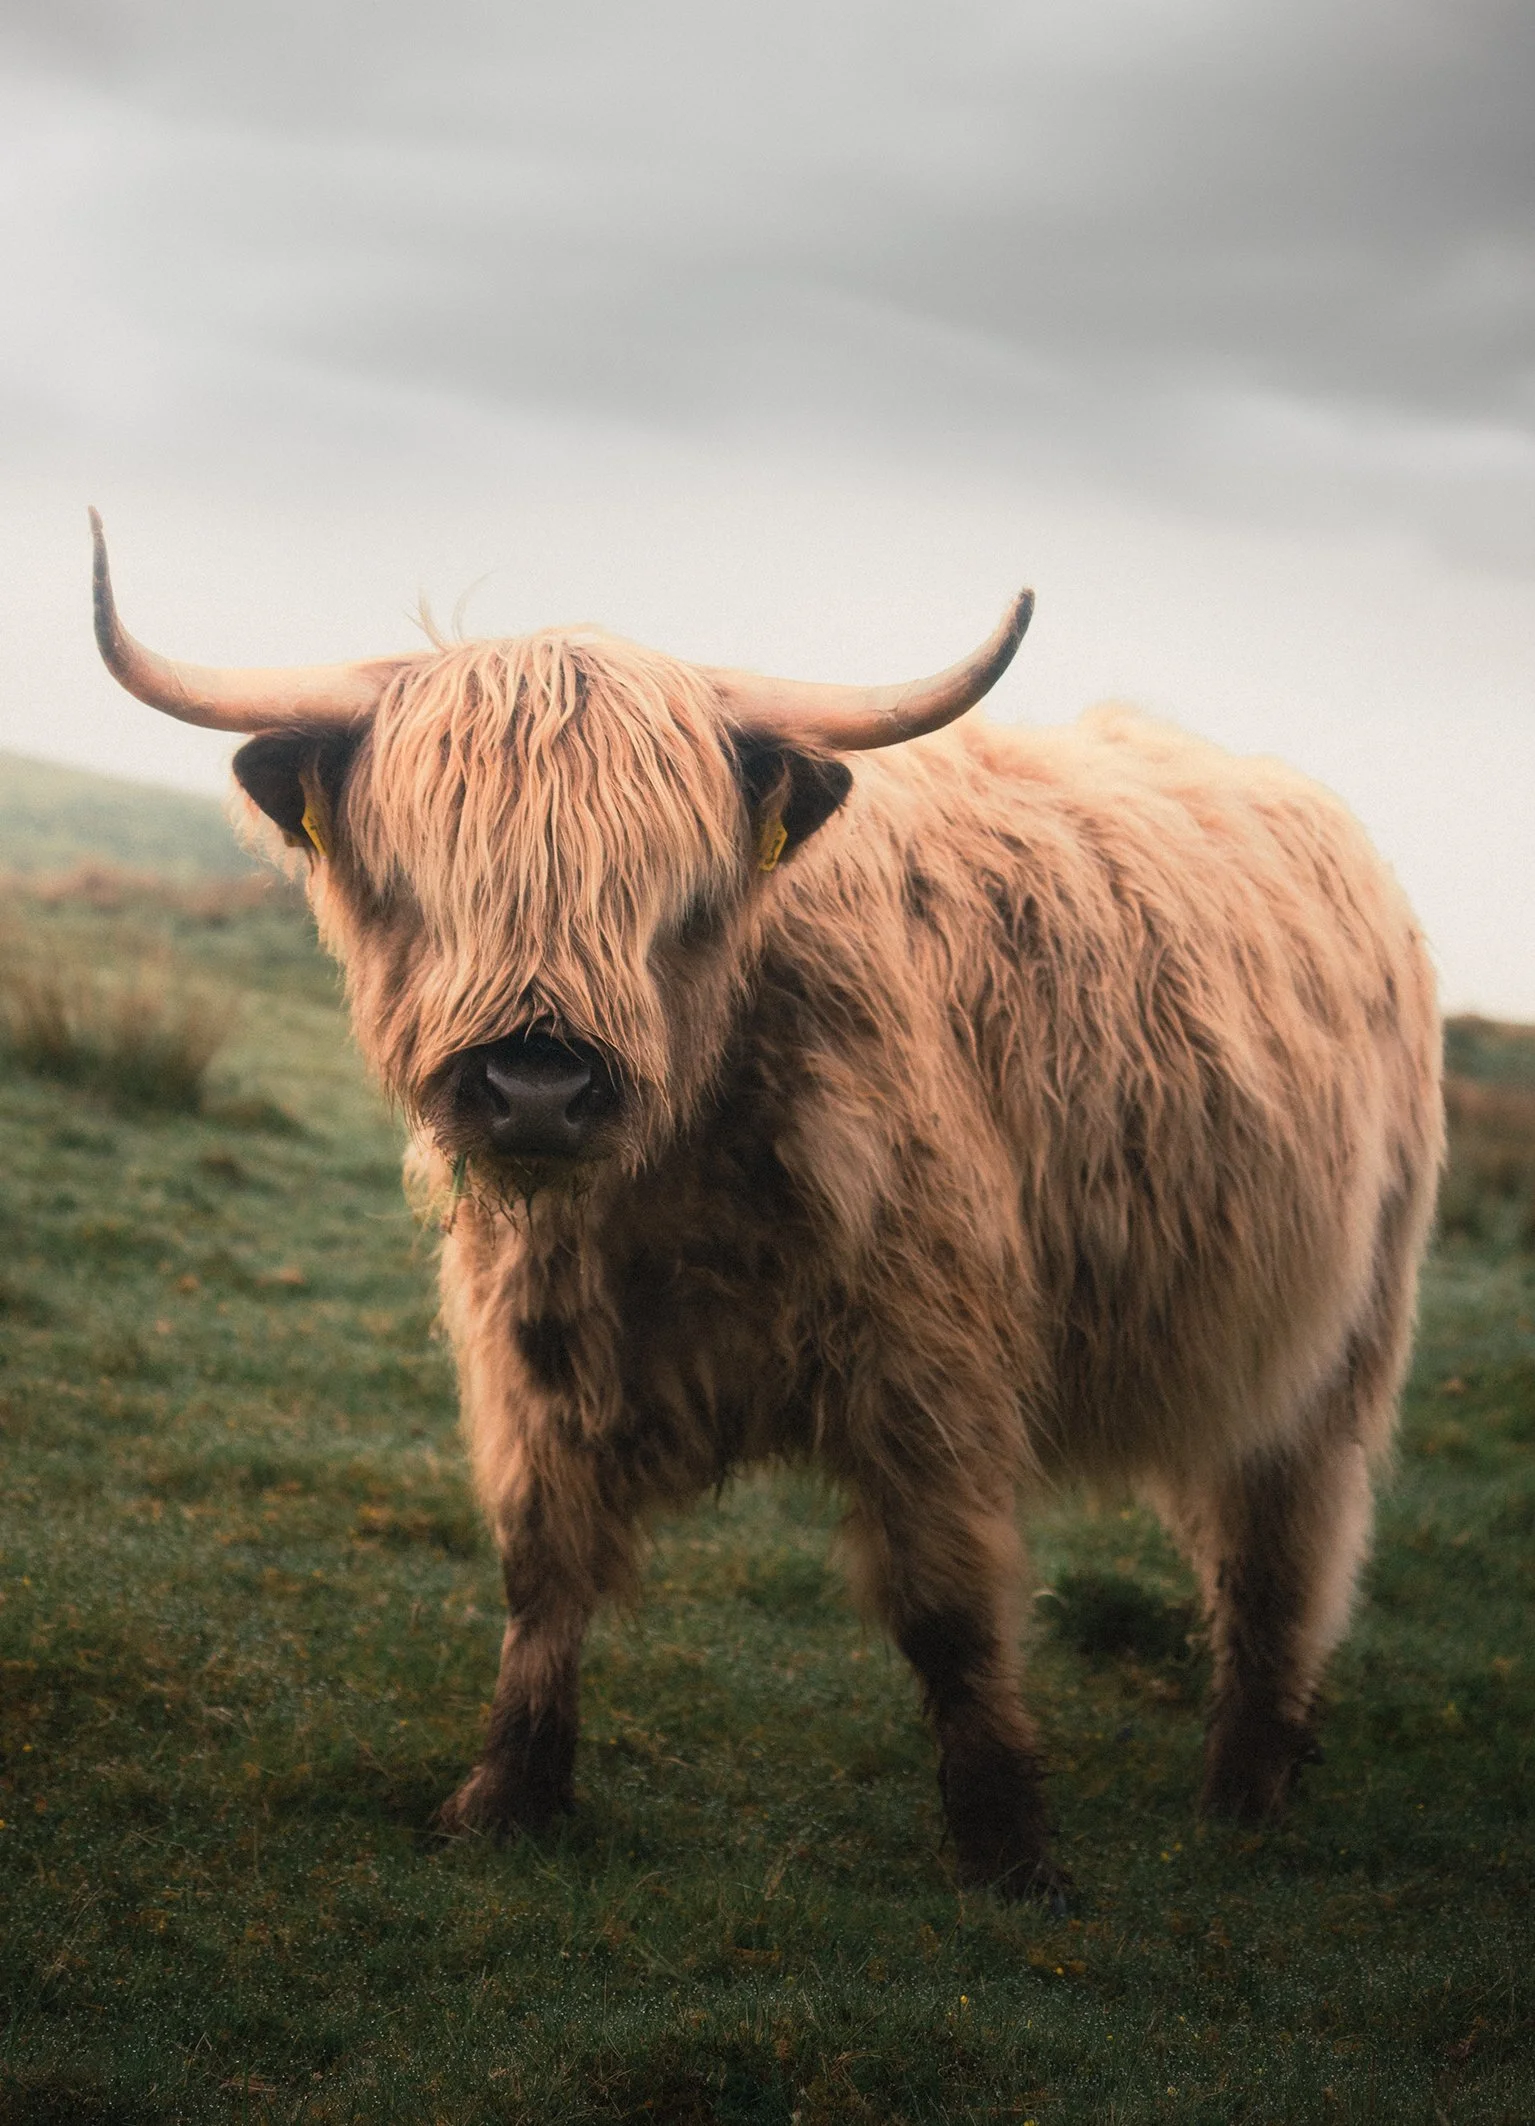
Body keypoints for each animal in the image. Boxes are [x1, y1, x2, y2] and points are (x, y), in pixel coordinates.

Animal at [89, 510, 1442, 1897]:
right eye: (424, 876)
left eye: (666, 887)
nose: (534, 1087)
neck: (673, 1191)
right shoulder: (535, 1349)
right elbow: (541, 1571)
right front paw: (506, 1795)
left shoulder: (930, 1360)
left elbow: (949, 1606)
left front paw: (1008, 1849)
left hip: (1338, 1334)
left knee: (1282, 1549)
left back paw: (1246, 1789)